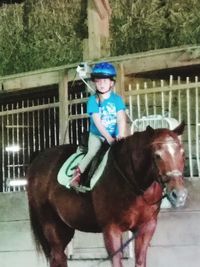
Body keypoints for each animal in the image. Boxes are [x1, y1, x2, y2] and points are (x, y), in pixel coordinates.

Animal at [26, 122, 188, 267]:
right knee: (58, 256)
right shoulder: (111, 228)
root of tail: (37, 160)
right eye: (157, 155)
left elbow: (140, 261)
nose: (179, 194)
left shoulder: (146, 227)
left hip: (65, 227)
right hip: (50, 224)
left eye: (183, 153)